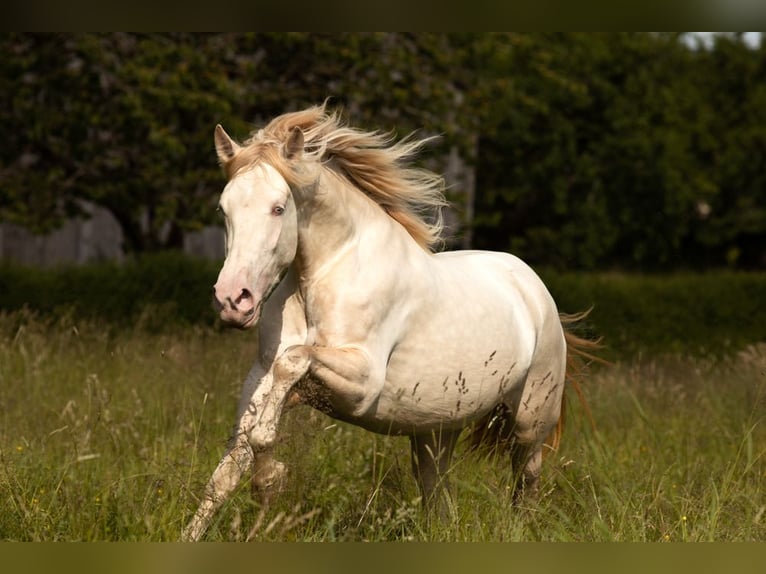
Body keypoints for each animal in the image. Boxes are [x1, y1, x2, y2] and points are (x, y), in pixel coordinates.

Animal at [183, 106, 596, 544]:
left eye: (279, 208)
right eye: (223, 210)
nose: (233, 300)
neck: (326, 275)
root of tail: (536, 291)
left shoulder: (362, 385)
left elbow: (292, 363)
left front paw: (269, 480)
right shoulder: (260, 377)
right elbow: (229, 467)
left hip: (531, 420)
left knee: (526, 479)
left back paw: (519, 530)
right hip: (436, 430)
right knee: (437, 492)